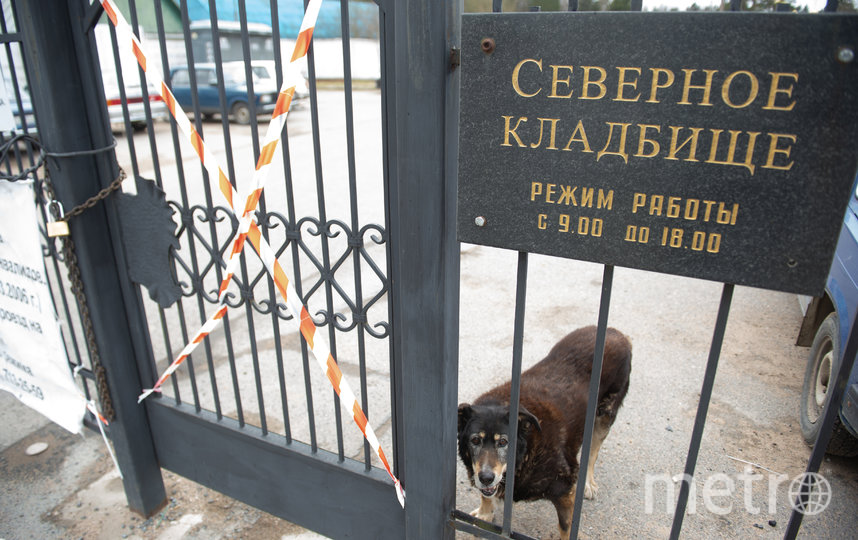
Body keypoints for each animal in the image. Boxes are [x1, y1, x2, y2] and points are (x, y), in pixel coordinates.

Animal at [454, 326, 628, 536]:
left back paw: (587, 483)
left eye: (503, 442)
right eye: (475, 441)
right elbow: (486, 496)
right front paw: (484, 513)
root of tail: (614, 332)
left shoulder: (564, 488)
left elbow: (566, 528)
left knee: (592, 452)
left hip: (605, 416)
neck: (524, 453)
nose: (486, 477)